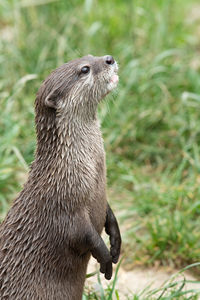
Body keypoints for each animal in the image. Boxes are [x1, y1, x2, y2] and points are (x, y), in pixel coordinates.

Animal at [0, 55, 120, 298]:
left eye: (90, 56)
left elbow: (108, 213)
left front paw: (115, 241)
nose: (109, 59)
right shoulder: (63, 205)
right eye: (84, 69)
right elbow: (82, 234)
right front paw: (104, 258)